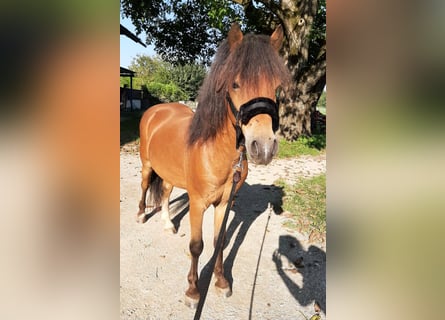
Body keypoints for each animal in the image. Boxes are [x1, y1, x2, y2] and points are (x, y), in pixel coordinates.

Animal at [136, 22, 288, 308]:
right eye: (235, 84)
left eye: (277, 86)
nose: (263, 147)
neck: (215, 151)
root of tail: (157, 110)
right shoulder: (198, 203)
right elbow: (197, 246)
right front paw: (193, 292)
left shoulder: (224, 203)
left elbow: (220, 241)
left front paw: (221, 281)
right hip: (147, 165)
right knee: (144, 186)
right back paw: (141, 214)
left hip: (169, 172)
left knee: (165, 192)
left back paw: (167, 223)